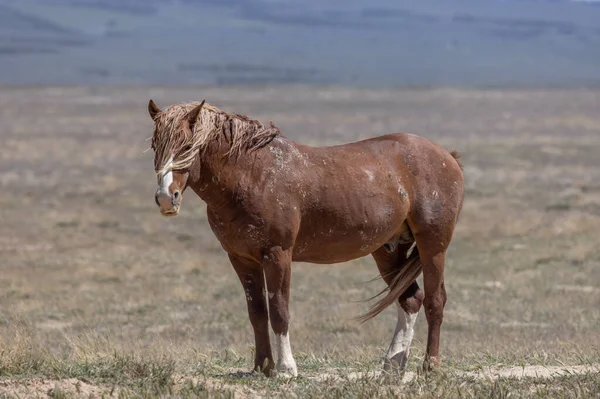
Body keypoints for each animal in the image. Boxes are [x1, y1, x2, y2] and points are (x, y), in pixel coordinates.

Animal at [146, 97, 464, 378]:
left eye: (188, 145)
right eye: (155, 144)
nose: (166, 198)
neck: (253, 175)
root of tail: (447, 157)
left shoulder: (278, 254)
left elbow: (279, 310)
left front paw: (286, 369)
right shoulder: (241, 259)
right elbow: (257, 312)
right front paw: (262, 367)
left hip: (433, 246)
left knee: (435, 300)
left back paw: (430, 367)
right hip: (388, 251)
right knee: (410, 300)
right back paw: (392, 365)